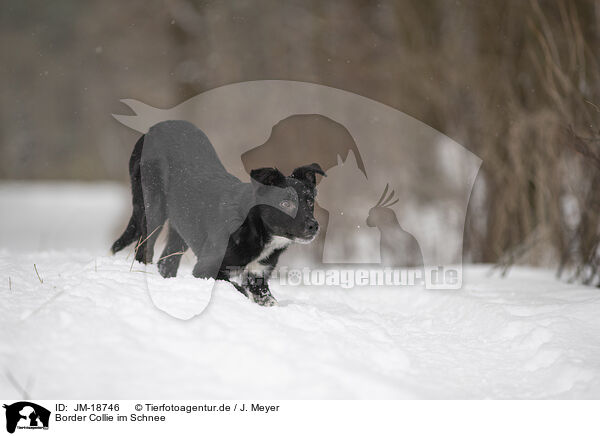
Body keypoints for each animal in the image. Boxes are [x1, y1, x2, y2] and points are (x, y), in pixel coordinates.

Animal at [113, 120, 328, 306]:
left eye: (310, 201)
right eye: (285, 203)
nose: (314, 226)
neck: (254, 228)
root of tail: (153, 128)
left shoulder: (258, 275)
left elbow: (268, 300)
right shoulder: (206, 269)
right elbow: (235, 288)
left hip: (182, 224)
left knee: (166, 262)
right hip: (152, 207)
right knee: (143, 250)